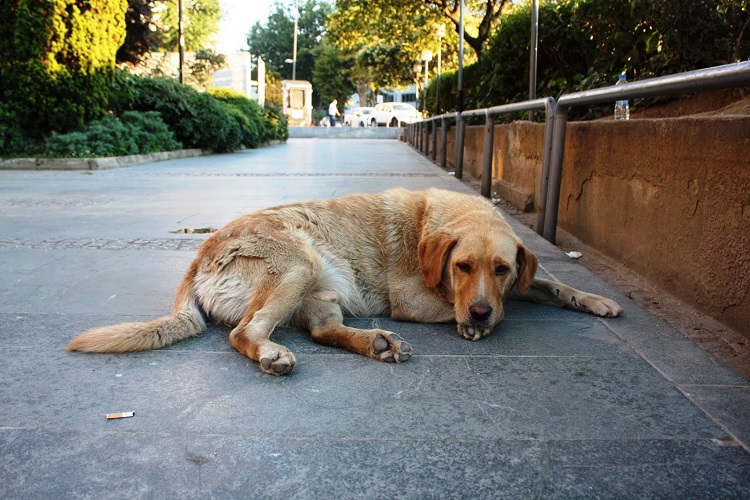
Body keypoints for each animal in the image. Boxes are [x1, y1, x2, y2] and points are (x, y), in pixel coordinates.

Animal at [69, 188, 624, 376]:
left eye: (502, 268)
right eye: (462, 267)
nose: (482, 311)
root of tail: (201, 252)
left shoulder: (517, 280)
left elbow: (547, 285)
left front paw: (593, 299)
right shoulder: (413, 298)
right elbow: (480, 308)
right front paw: (476, 321)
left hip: (321, 291)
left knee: (321, 331)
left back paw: (376, 342)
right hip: (296, 265)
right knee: (244, 332)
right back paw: (273, 354)